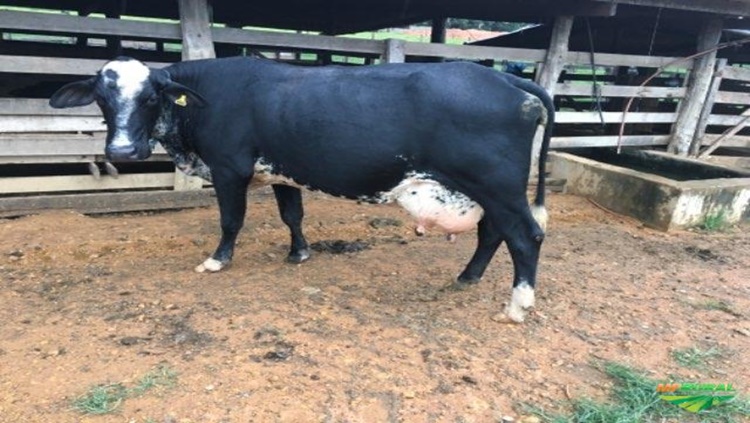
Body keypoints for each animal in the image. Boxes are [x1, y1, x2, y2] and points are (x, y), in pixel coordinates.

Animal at [49, 56, 553, 322]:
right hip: (486, 190)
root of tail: (506, 77)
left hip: (497, 186)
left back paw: (517, 304)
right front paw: (299, 252)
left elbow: (231, 220)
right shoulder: (282, 172)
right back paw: (467, 277)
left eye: (151, 96)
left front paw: (217, 260)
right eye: (102, 98)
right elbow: (292, 214)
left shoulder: (229, 170)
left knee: (525, 235)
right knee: (493, 233)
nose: (123, 149)